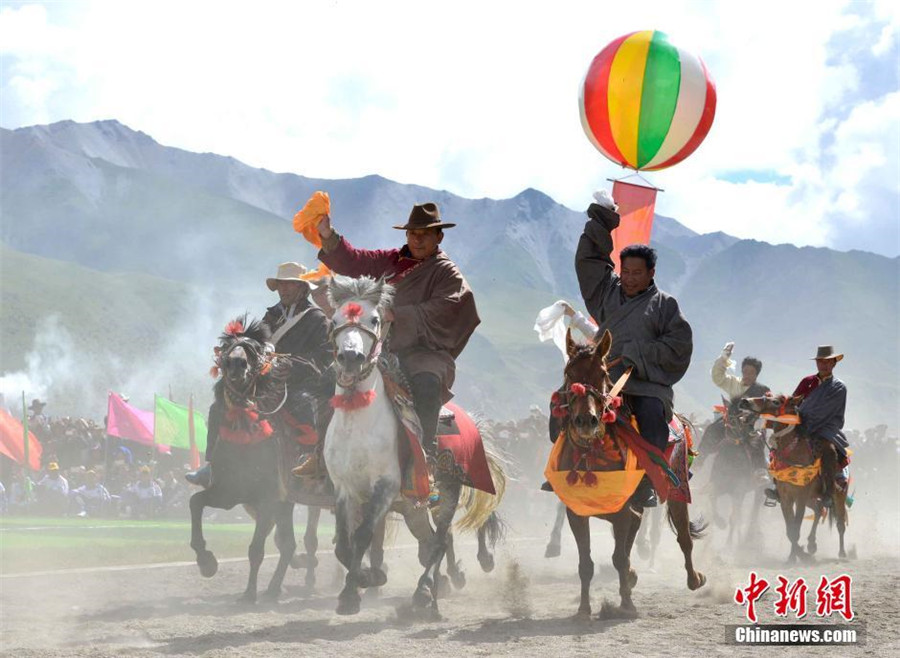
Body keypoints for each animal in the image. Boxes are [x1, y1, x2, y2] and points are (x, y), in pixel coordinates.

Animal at [326, 274, 464, 612]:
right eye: (334, 320)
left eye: (375, 319)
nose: (351, 358)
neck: (357, 423)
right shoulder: (344, 488)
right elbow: (344, 544)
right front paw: (363, 581)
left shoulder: (385, 487)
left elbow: (362, 536)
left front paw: (356, 589)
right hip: (412, 508)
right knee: (429, 542)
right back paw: (428, 591)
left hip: (445, 498)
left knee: (439, 541)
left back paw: (425, 591)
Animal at [552, 328, 708, 616]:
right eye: (568, 372)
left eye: (603, 373)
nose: (586, 421)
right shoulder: (577, 513)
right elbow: (586, 563)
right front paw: (583, 610)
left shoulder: (625, 512)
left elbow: (619, 558)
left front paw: (626, 604)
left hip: (676, 486)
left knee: (683, 536)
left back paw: (694, 578)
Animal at [740, 392, 844, 560]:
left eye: (776, 402)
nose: (744, 401)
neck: (793, 454)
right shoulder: (785, 498)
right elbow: (790, 531)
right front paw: (794, 556)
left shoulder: (800, 497)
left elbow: (796, 528)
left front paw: (798, 556)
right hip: (811, 498)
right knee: (818, 509)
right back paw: (812, 544)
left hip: (838, 495)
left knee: (840, 524)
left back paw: (842, 552)